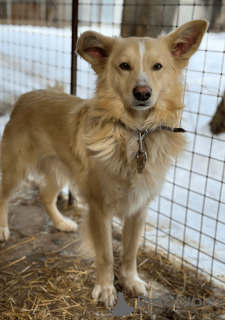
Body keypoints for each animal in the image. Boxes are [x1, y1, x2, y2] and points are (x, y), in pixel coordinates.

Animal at [0, 20, 207, 308]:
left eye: (157, 66)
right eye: (124, 65)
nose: (142, 93)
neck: (135, 133)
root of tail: (24, 97)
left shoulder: (139, 208)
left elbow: (130, 251)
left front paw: (131, 281)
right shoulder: (100, 208)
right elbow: (107, 254)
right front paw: (106, 289)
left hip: (59, 170)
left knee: (46, 195)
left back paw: (61, 222)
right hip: (16, 168)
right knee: (4, 195)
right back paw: (3, 228)